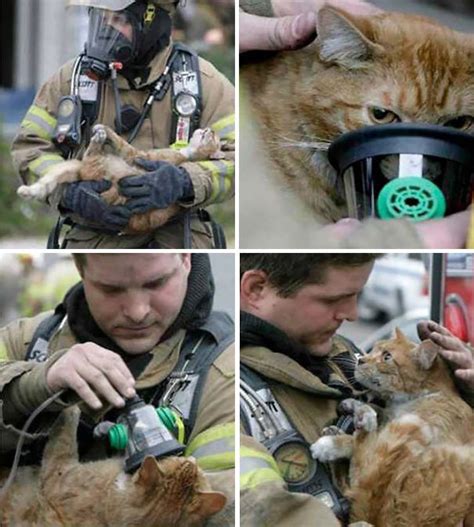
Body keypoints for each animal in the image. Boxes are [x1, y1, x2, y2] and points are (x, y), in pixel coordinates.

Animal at [16, 125, 228, 234]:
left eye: (213, 136)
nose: (209, 129)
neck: (188, 155)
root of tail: (83, 172)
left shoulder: (137, 154)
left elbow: (122, 142)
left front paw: (106, 131)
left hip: (97, 163)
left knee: (93, 151)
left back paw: (99, 137)